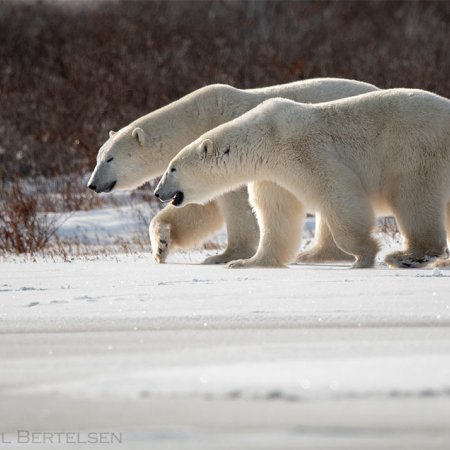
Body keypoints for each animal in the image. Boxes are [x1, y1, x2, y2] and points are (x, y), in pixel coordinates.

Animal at [86, 79, 378, 266]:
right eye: (98, 157)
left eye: (110, 158)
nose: (92, 184)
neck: (193, 119)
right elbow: (202, 209)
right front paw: (161, 245)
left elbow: (235, 205)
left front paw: (223, 256)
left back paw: (318, 253)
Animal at [155, 89, 450, 268]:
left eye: (172, 169)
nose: (158, 193)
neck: (266, 137)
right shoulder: (272, 174)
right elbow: (277, 213)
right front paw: (245, 262)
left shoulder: (303, 149)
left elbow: (337, 192)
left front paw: (363, 254)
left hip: (415, 151)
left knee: (414, 199)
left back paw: (407, 256)